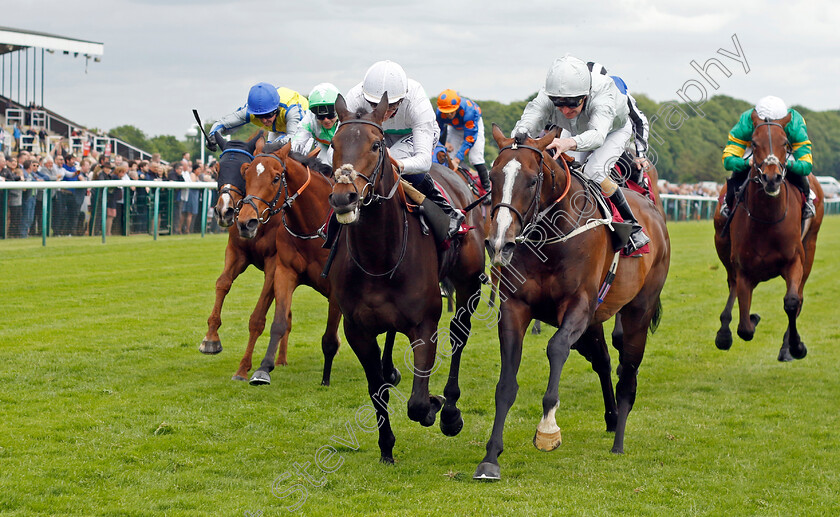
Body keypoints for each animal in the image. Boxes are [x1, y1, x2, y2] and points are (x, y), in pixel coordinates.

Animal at [235, 139, 342, 384]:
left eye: (276, 178)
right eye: (246, 175)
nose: (246, 222)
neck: (313, 227)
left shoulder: (338, 288)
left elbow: (330, 338)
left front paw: (326, 379)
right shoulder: (284, 272)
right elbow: (279, 323)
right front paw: (263, 369)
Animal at [326, 93, 486, 464]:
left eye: (376, 144)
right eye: (334, 144)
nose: (343, 197)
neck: (379, 256)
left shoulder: (425, 325)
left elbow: (416, 401)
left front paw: (434, 407)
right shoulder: (357, 330)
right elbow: (376, 389)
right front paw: (386, 445)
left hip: (468, 283)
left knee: (459, 334)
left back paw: (450, 409)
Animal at [476, 126, 672, 480]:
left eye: (532, 180)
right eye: (493, 177)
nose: (499, 242)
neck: (549, 240)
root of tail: (654, 213)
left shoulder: (579, 305)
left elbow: (556, 348)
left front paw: (547, 430)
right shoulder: (514, 308)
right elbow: (506, 384)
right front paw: (490, 457)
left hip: (639, 309)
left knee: (628, 369)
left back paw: (619, 439)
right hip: (595, 321)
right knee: (604, 362)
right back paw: (611, 418)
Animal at [712, 109, 824, 358]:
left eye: (786, 143)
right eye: (754, 142)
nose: (772, 178)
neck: (767, 220)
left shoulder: (795, 261)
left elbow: (792, 302)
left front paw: (796, 346)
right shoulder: (743, 269)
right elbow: (745, 327)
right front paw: (750, 319)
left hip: (811, 246)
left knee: (800, 296)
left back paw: (787, 347)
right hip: (722, 244)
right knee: (731, 283)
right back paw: (724, 331)